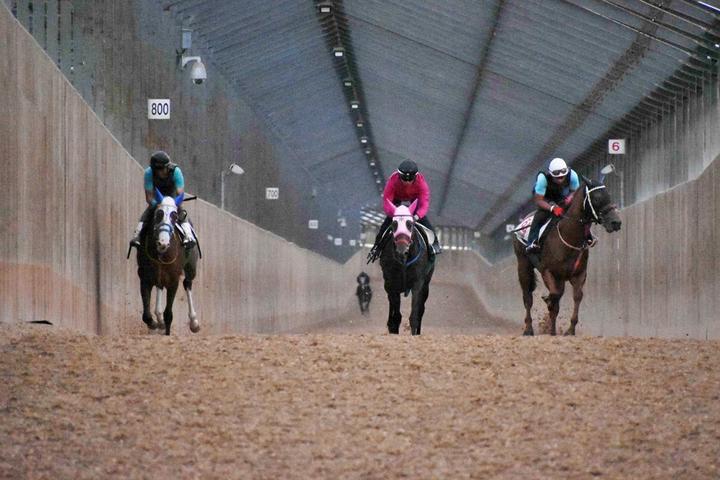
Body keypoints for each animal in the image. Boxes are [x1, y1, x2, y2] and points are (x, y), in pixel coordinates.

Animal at [136, 189, 199, 335]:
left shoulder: (173, 279)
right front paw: (154, 323)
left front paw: (167, 331)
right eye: (158, 214)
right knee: (160, 286)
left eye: (174, 216)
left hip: (191, 267)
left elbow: (168, 314)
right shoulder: (144, 277)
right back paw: (158, 318)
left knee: (187, 283)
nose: (163, 243)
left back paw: (194, 322)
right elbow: (146, 315)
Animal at [379, 199, 435, 335]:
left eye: (410, 224)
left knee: (421, 309)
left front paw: (414, 332)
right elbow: (396, 314)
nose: (401, 250)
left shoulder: (418, 283)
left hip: (426, 285)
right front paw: (393, 330)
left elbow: (415, 313)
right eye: (394, 224)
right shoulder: (391, 283)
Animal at [512, 176, 622, 336]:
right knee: (527, 297)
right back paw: (528, 329)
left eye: (609, 195)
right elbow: (554, 296)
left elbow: (576, 296)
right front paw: (548, 306)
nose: (616, 222)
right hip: (523, 264)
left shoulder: (578, 274)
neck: (568, 235)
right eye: (596, 198)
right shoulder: (547, 271)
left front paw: (569, 330)